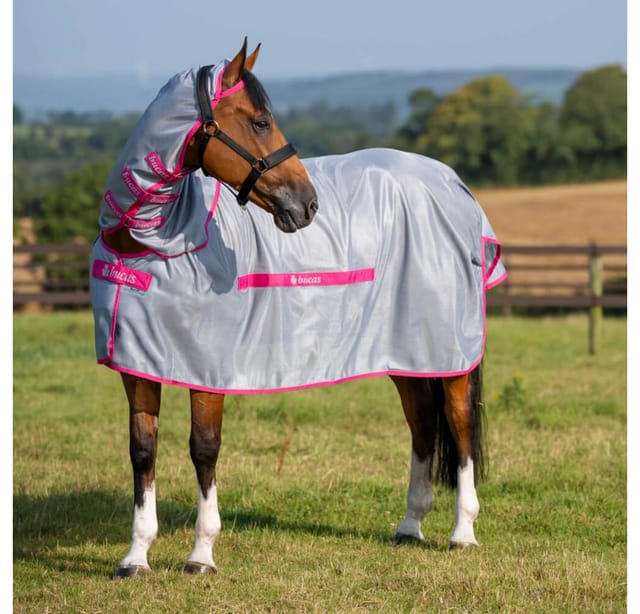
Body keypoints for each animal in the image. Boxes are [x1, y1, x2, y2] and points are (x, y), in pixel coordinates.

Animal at [89, 39, 507, 579]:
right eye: (260, 121)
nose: (307, 205)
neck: (152, 244)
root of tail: (452, 183)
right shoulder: (137, 366)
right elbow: (143, 452)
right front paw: (135, 557)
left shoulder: (208, 369)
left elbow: (204, 449)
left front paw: (201, 555)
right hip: (406, 352)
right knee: (421, 425)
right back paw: (410, 526)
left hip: (449, 351)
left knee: (458, 427)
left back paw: (462, 533)